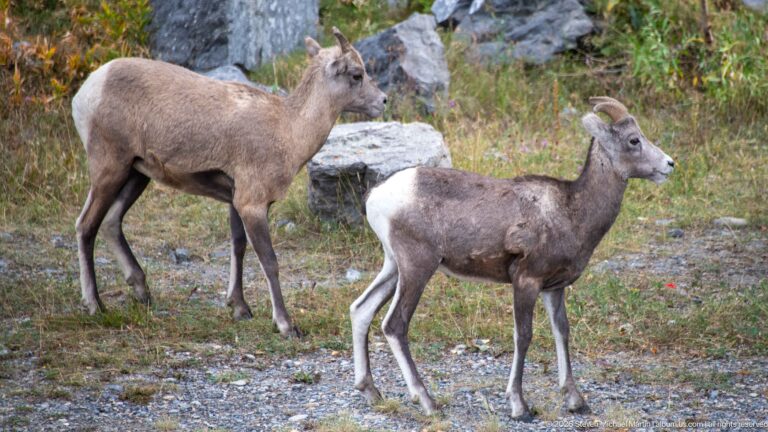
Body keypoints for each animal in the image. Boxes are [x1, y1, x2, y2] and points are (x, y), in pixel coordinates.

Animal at [71, 28, 387, 338]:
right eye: (356, 74)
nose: (382, 101)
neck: (288, 129)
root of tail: (87, 91)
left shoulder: (236, 201)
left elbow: (238, 246)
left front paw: (240, 308)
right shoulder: (252, 205)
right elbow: (269, 261)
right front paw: (286, 326)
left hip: (137, 174)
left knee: (111, 222)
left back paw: (142, 293)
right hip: (110, 169)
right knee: (86, 225)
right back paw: (95, 305)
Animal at [350, 97, 675, 419]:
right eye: (634, 140)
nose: (669, 164)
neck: (571, 211)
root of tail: (376, 196)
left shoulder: (554, 288)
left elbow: (562, 332)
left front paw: (576, 401)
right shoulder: (526, 281)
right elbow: (524, 336)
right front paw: (520, 406)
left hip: (394, 267)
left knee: (361, 309)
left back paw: (372, 393)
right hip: (417, 267)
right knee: (395, 325)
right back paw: (428, 403)